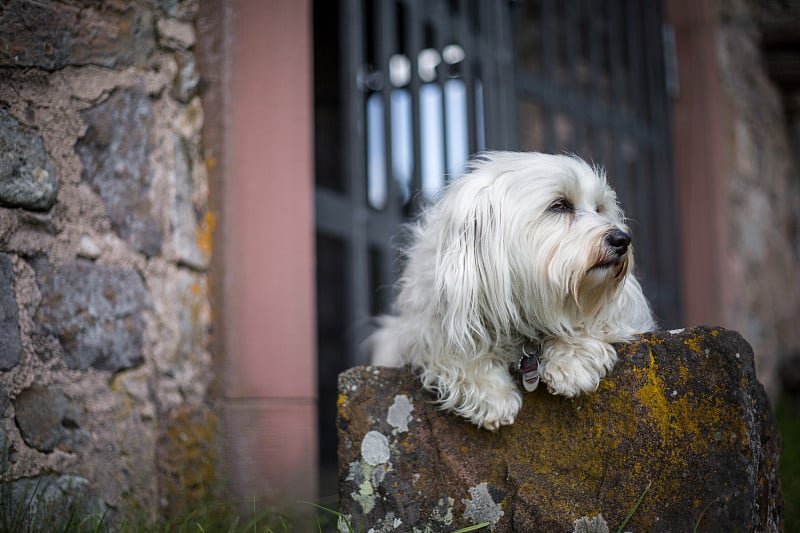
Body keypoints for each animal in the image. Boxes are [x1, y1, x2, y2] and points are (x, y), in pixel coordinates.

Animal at [372, 150, 652, 428]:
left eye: (599, 208)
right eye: (560, 205)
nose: (622, 239)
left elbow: (593, 319)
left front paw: (573, 360)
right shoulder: (429, 321)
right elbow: (452, 347)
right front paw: (490, 392)